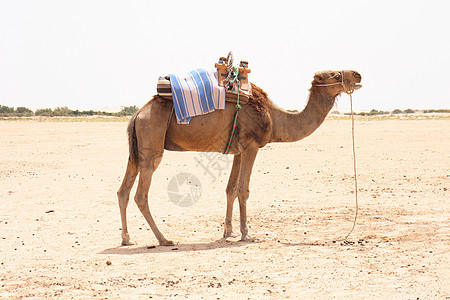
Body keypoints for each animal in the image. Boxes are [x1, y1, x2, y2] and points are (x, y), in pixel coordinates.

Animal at [117, 70, 362, 246]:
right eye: (333, 74)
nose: (357, 74)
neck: (274, 118)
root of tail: (137, 114)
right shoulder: (251, 146)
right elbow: (243, 190)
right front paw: (247, 234)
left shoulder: (237, 151)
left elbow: (230, 189)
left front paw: (229, 231)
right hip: (152, 141)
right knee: (141, 195)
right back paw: (164, 239)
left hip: (137, 149)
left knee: (123, 191)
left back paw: (127, 238)